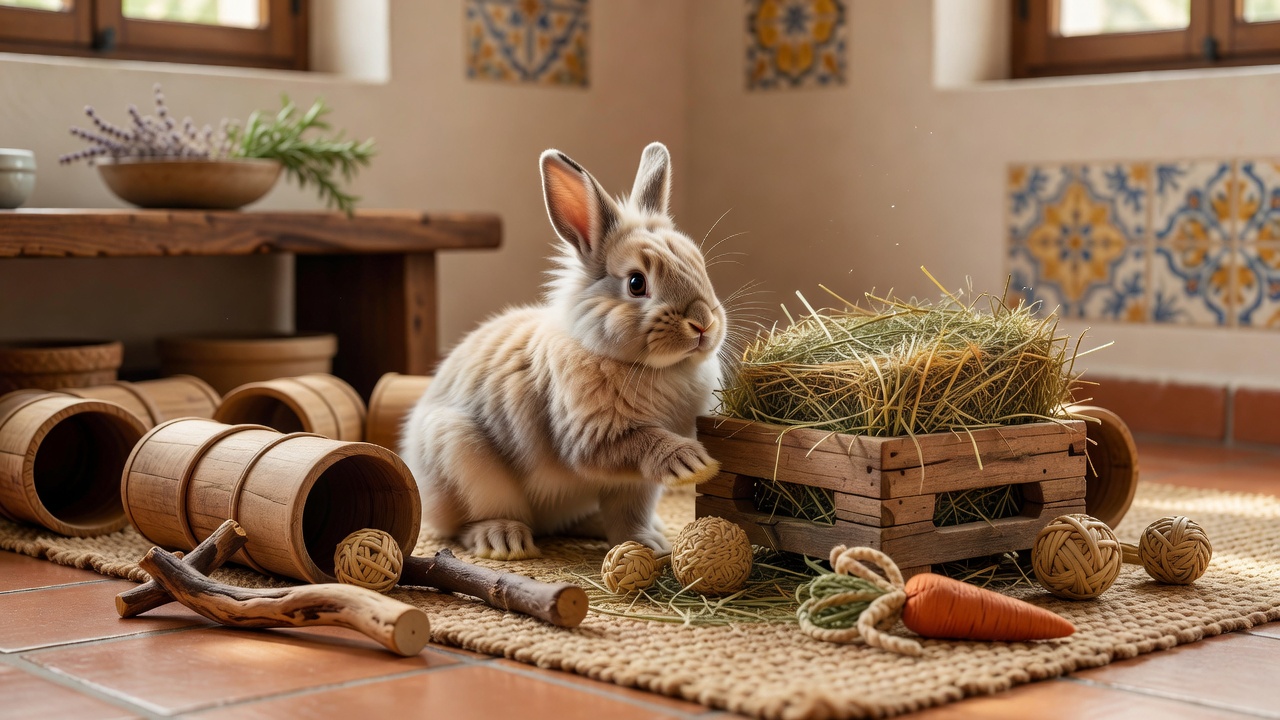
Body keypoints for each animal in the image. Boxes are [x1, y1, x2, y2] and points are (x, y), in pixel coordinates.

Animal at [400, 142, 726, 560]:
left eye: (699, 265)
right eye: (637, 283)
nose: (703, 324)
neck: (654, 367)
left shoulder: (635, 485)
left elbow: (630, 514)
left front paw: (647, 545)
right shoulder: (594, 439)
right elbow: (643, 442)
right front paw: (693, 462)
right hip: (460, 457)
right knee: (467, 525)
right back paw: (504, 541)